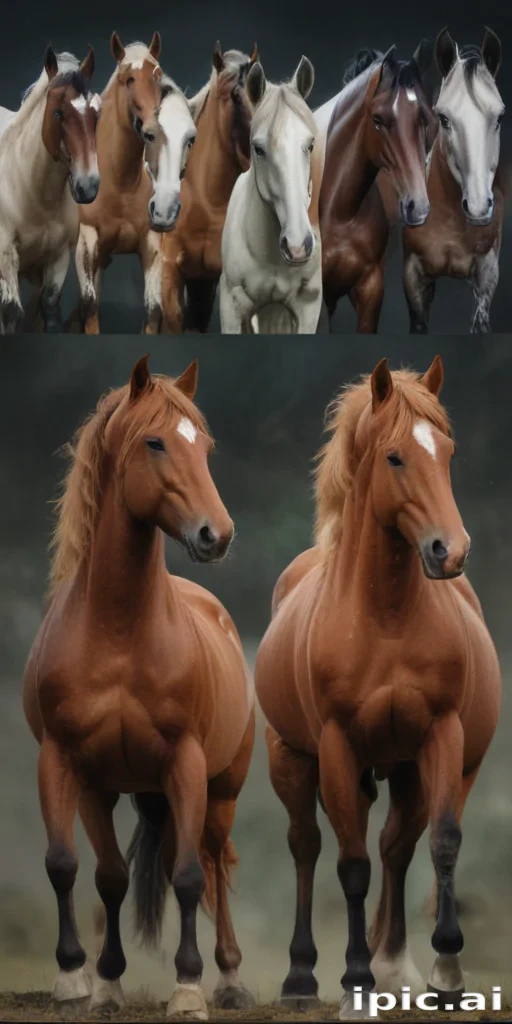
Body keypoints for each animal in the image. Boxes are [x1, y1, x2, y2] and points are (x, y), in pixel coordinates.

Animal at [0, 48, 100, 333]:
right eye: (57, 113)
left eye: (95, 115)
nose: (88, 186)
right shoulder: (5, 256)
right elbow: (11, 314)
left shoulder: (57, 257)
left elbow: (50, 308)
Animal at [22, 356, 255, 1020]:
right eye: (155, 442)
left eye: (204, 446)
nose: (216, 535)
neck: (119, 634)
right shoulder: (73, 768)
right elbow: (81, 869)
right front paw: (88, 980)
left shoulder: (186, 764)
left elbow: (189, 877)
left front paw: (188, 989)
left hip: (219, 789)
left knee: (213, 861)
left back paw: (230, 978)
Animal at [75, 33, 196, 335]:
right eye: (128, 79)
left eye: (157, 77)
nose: (154, 128)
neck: (120, 185)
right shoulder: (86, 239)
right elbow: (90, 307)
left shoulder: (151, 243)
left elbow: (153, 310)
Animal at [255, 356, 500, 1019]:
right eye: (395, 457)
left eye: (446, 450)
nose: (450, 550)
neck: (384, 618)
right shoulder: (338, 748)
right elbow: (352, 865)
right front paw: (356, 983)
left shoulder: (441, 737)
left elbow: (441, 844)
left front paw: (446, 974)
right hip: (294, 760)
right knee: (308, 846)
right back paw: (303, 978)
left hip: (419, 768)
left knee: (398, 845)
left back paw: (396, 967)